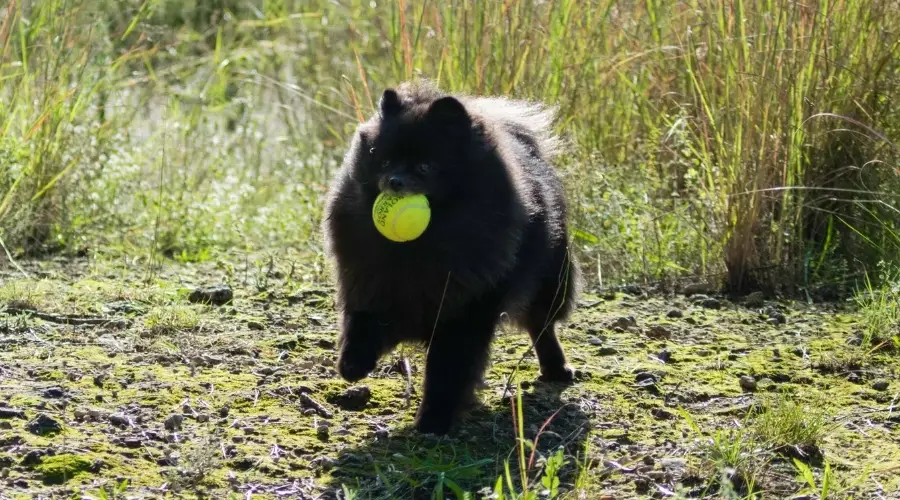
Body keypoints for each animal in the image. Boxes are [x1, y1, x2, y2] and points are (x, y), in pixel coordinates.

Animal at [320, 81, 580, 434]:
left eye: (425, 167)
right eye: (383, 163)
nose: (394, 181)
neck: (420, 246)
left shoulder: (464, 312)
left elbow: (448, 371)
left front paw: (434, 419)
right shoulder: (371, 282)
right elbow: (362, 323)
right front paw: (352, 363)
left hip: (551, 282)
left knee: (542, 326)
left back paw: (556, 368)